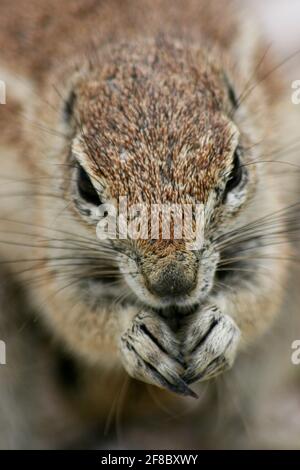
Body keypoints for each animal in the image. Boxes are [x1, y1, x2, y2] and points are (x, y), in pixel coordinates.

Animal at [0, 0, 300, 448]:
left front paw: (219, 327)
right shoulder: (51, 238)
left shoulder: (265, 215)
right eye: (85, 185)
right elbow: (70, 310)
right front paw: (136, 338)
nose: (173, 285)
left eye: (235, 172)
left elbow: (263, 286)